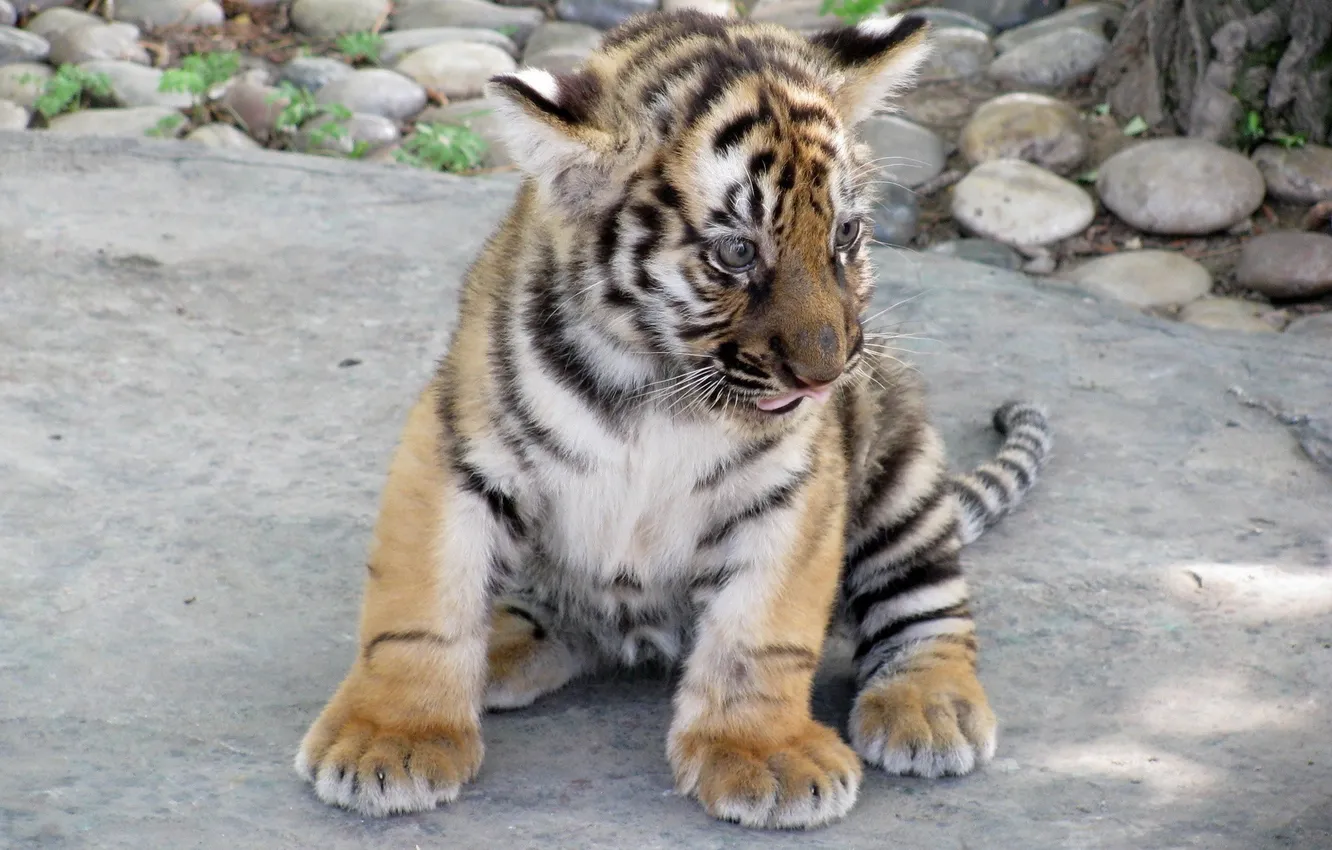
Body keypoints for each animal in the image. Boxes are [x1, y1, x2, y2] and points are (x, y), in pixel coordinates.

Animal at [294, 8, 1053, 830]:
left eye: (846, 235)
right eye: (736, 253)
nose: (827, 374)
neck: (660, 385)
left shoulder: (793, 486)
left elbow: (761, 631)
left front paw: (765, 755)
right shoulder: (457, 447)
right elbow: (420, 607)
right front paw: (391, 738)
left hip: (903, 470)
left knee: (930, 607)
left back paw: (930, 708)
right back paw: (498, 644)